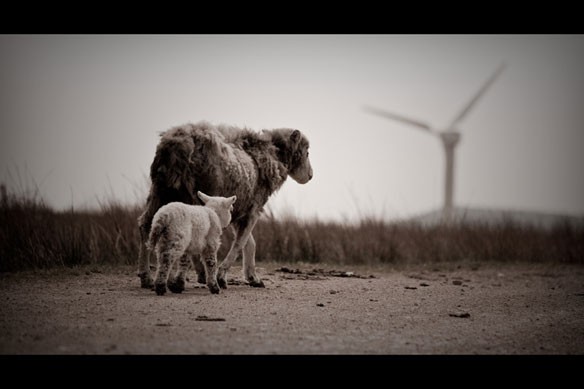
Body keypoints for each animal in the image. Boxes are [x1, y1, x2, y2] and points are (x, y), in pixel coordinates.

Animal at [137, 121, 312, 288]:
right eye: (307, 152)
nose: (310, 176)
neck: (273, 153)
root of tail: (175, 143)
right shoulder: (254, 209)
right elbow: (240, 243)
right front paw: (221, 276)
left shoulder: (237, 210)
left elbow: (249, 243)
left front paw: (253, 278)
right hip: (191, 195)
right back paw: (189, 276)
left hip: (160, 192)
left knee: (145, 225)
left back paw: (147, 277)